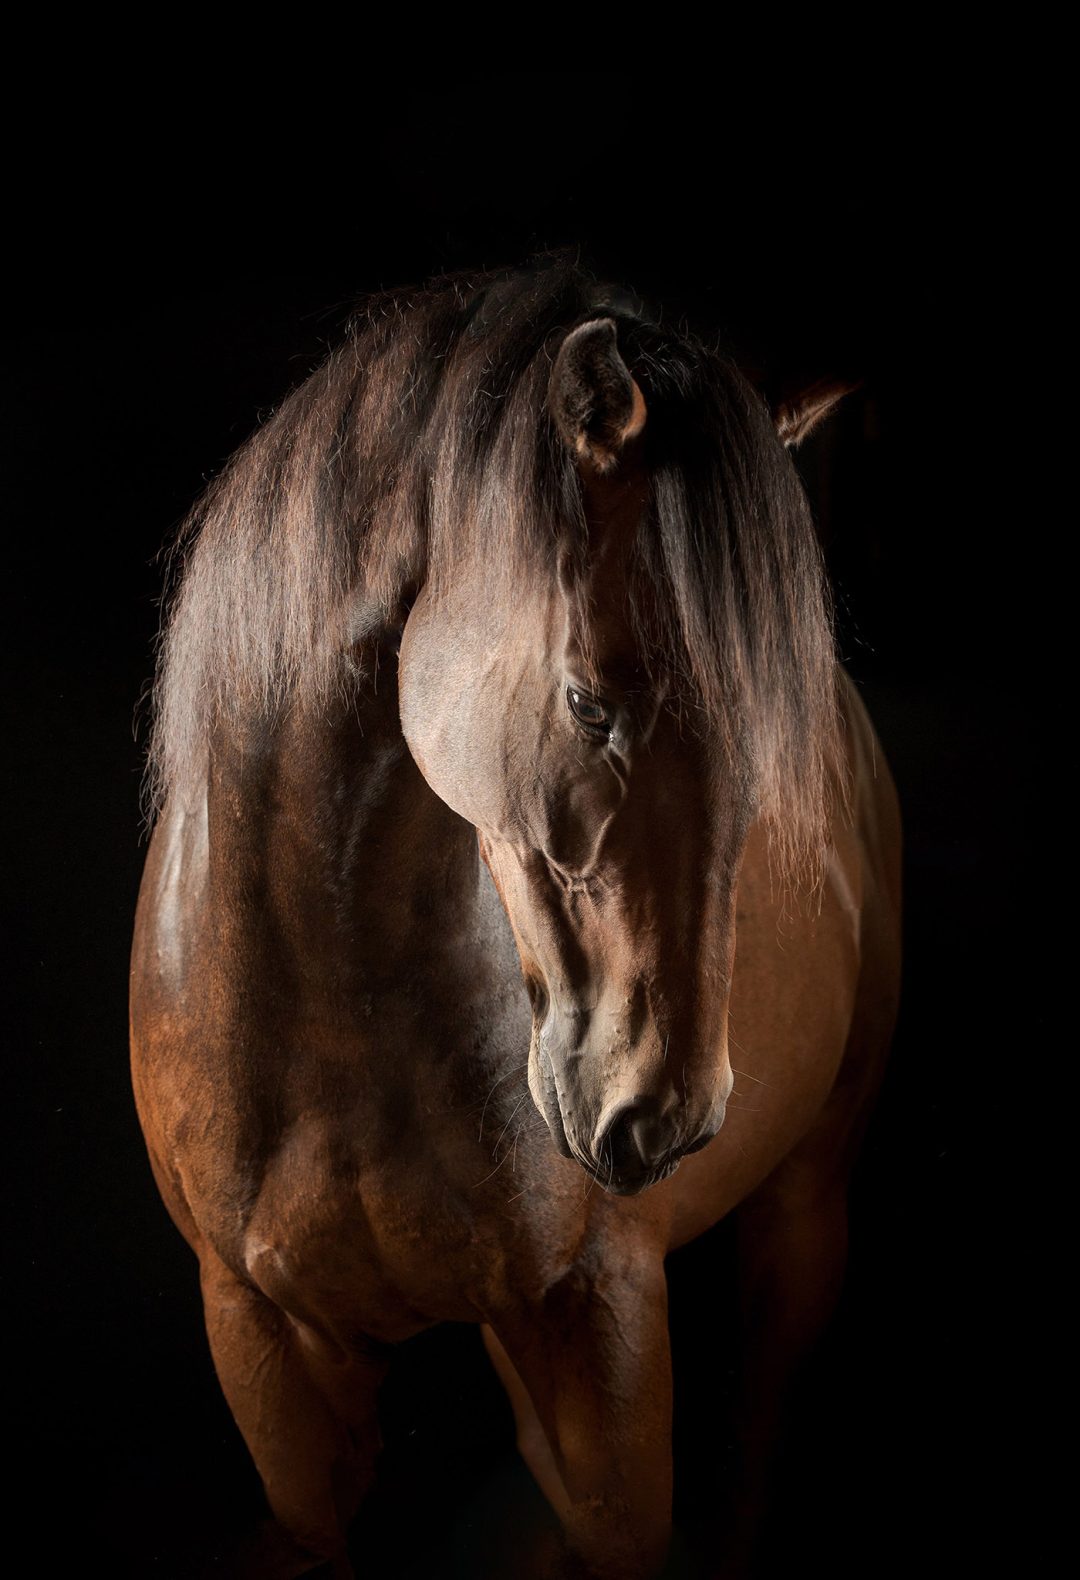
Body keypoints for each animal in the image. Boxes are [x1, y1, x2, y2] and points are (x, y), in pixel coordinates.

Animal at [130, 257, 901, 1579]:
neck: (329, 1018)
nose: (660, 1115)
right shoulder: (266, 1354)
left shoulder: (598, 1335)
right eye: (590, 703)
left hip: (805, 1201)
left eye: (767, 734)